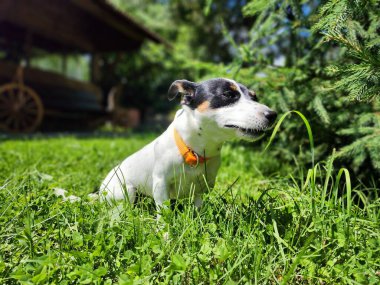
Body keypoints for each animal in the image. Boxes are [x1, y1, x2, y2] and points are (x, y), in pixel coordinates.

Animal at [98, 77, 276, 211]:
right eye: (228, 94)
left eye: (254, 97)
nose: (273, 114)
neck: (194, 150)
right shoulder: (161, 184)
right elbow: (164, 213)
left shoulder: (201, 187)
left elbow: (198, 208)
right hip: (126, 192)